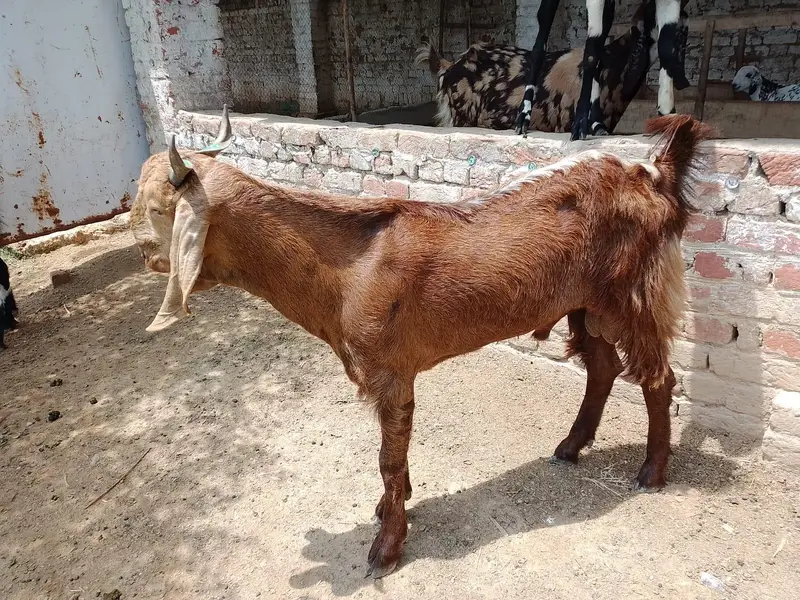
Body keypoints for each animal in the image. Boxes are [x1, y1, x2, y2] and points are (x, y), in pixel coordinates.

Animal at [131, 106, 713, 578]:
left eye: (160, 208)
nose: (145, 255)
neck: (347, 269)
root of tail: (653, 175)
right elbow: (396, 454)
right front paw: (393, 506)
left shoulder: (390, 371)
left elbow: (388, 458)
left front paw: (386, 547)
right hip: (582, 303)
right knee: (602, 367)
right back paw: (570, 447)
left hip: (632, 295)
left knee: (659, 377)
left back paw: (651, 472)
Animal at [515, 0, 689, 141]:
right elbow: (591, 52)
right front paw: (579, 124)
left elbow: (667, 48)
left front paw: (668, 118)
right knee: (540, 40)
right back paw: (523, 117)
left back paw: (597, 124)